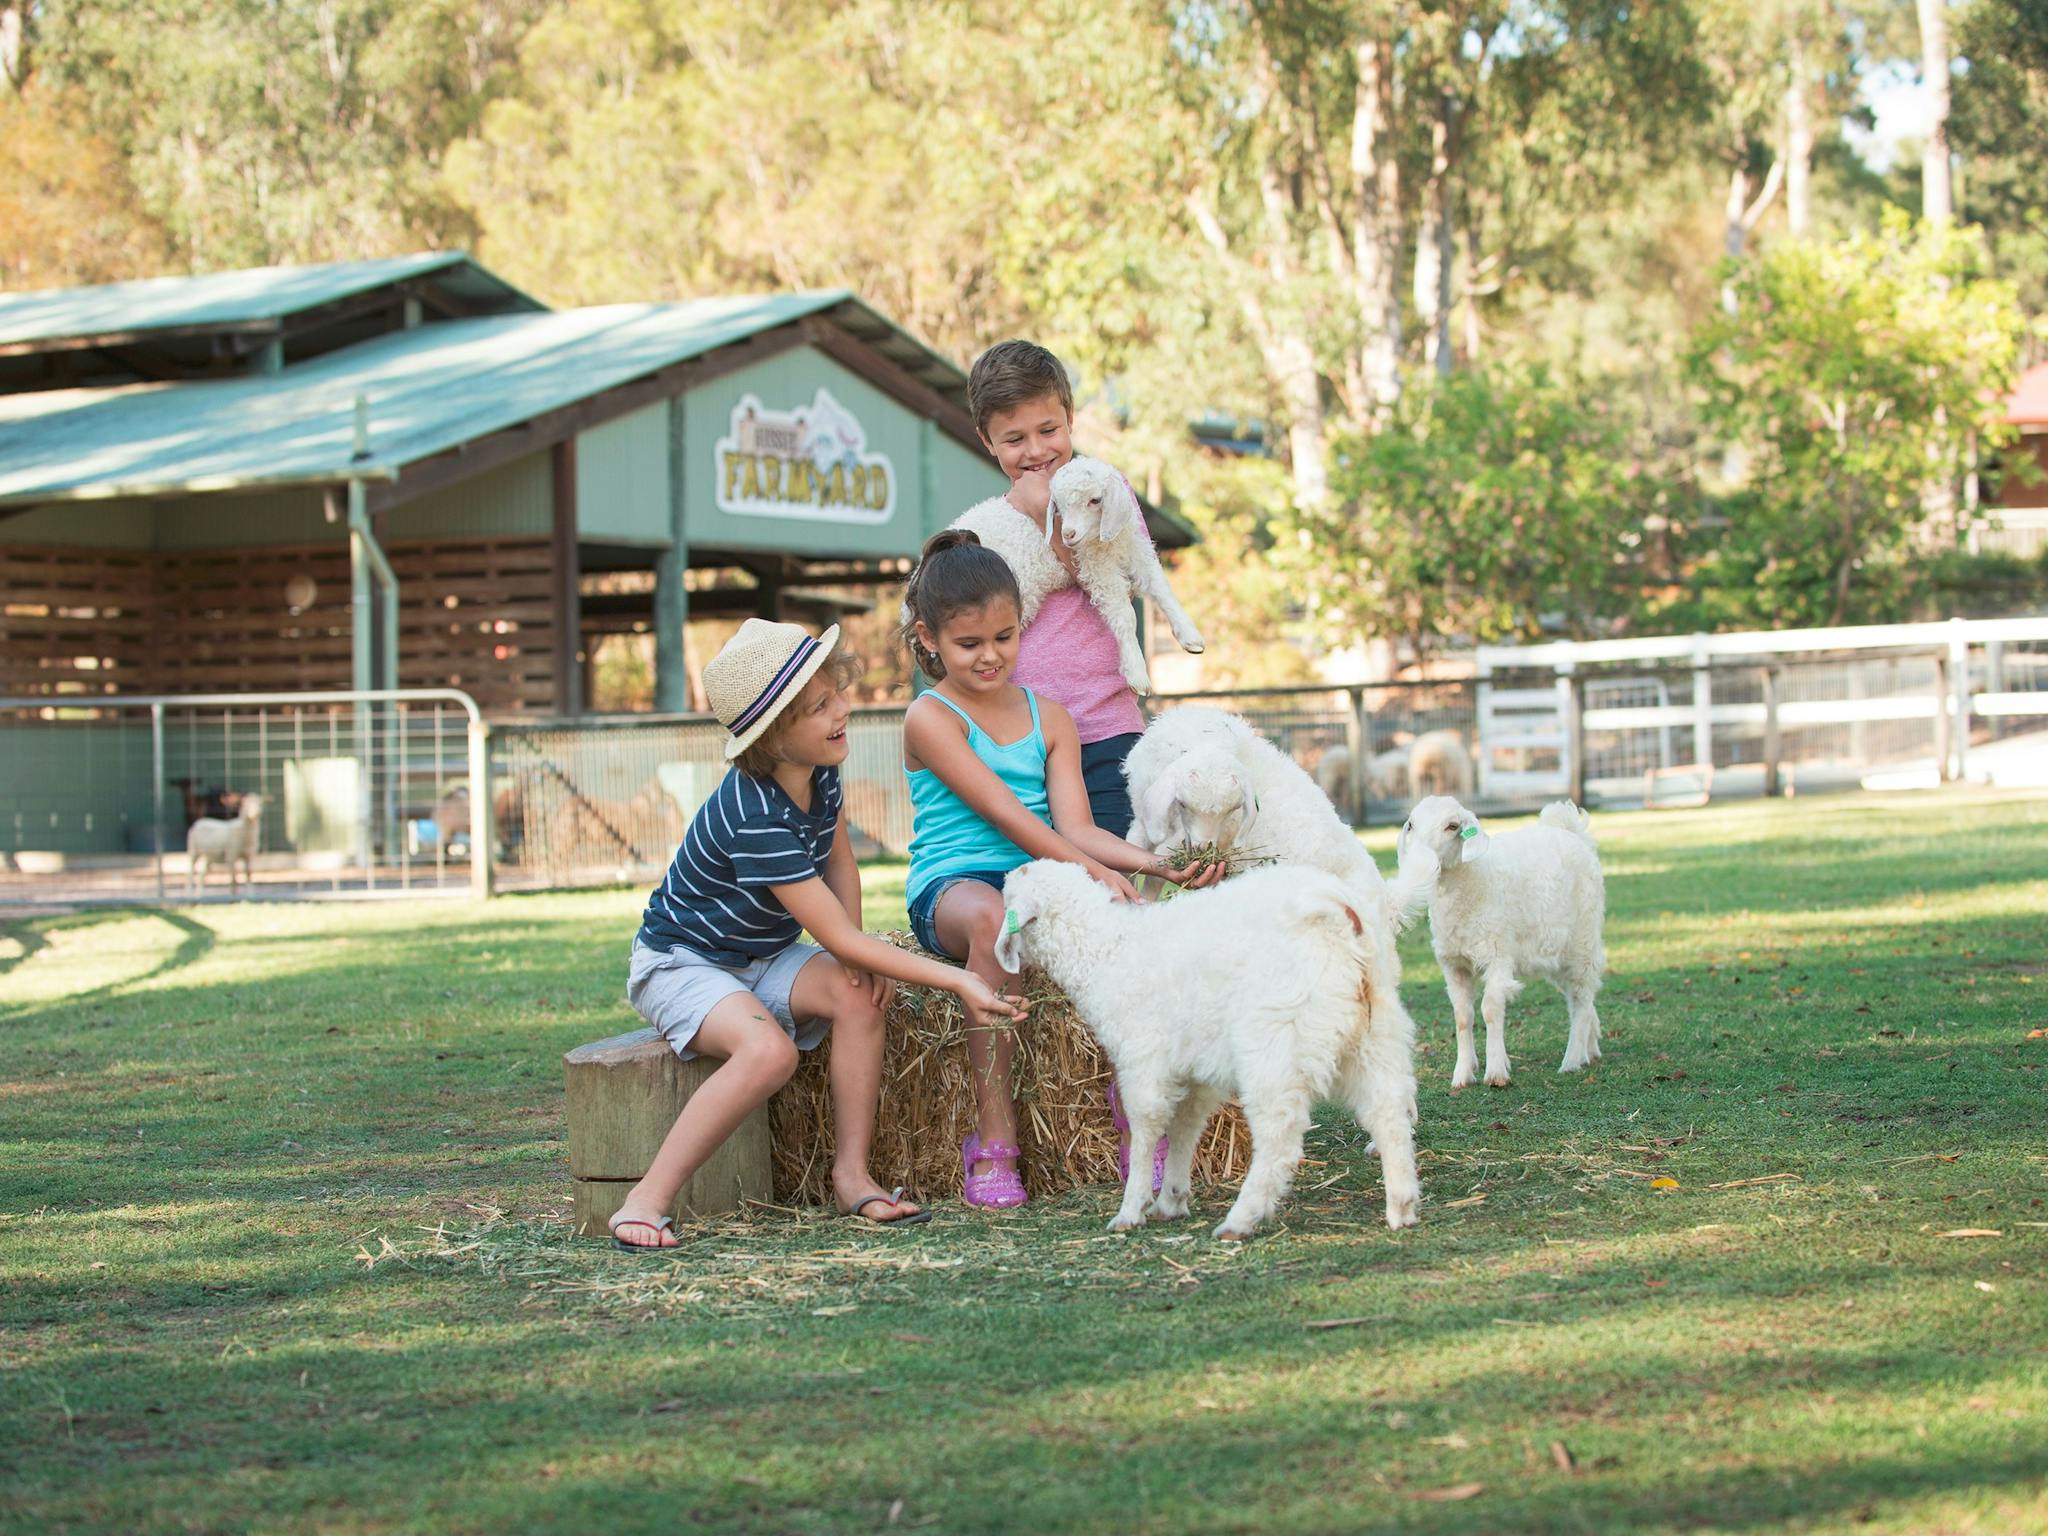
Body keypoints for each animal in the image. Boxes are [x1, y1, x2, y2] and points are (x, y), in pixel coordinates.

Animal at [995, 860, 1425, 1245]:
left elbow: (1146, 1126)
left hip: (1275, 1040)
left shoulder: (1143, 1057)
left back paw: (1241, 1218)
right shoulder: (1193, 1067)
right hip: (1375, 1033)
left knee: (1280, 1136)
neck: (1105, 951)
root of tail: (1337, 911)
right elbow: (1186, 1126)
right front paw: (1171, 1200)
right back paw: (1401, 1205)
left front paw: (1132, 1208)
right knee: (1390, 1114)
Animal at [1400, 798, 1605, 1089]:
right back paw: (1591, 1049)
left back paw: (1572, 1059)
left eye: (1452, 826)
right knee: (1579, 997)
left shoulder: (1497, 955)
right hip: (1555, 954)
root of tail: (1569, 830)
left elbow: (1490, 1010)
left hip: (1582, 941)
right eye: (1411, 825)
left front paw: (1496, 1072)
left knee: (1582, 998)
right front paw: (1462, 1075)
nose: (1420, 859)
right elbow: (1462, 1017)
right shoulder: (1454, 964)